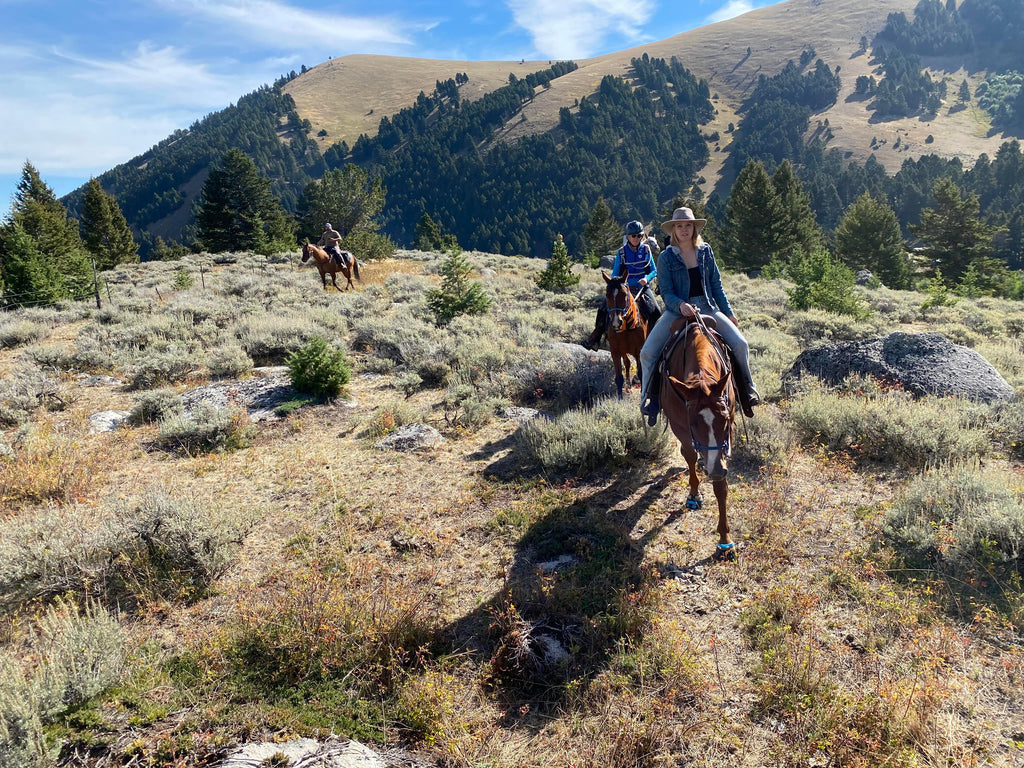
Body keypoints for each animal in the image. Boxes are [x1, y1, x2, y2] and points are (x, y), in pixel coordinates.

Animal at [659, 315, 741, 561]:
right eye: (694, 423)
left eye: (725, 420)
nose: (714, 469)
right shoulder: (680, 427)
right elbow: (689, 455)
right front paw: (694, 494)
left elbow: (721, 486)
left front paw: (725, 541)